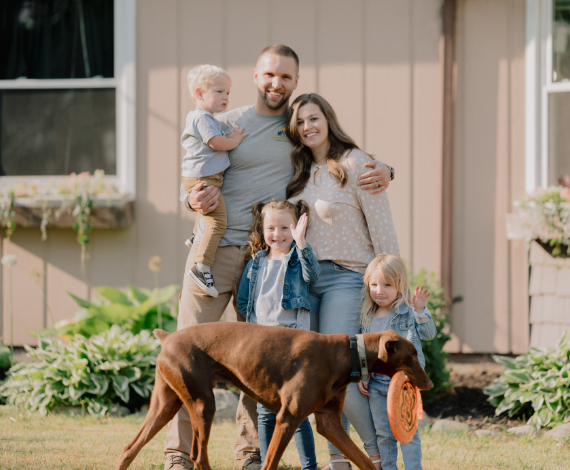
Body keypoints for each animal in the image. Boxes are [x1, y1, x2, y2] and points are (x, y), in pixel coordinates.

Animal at [117, 324, 432, 470]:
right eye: (412, 356)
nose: (428, 384)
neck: (349, 354)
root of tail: (167, 336)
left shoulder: (329, 423)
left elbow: (364, 460)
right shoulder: (287, 419)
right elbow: (269, 463)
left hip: (165, 405)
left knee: (130, 447)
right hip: (203, 404)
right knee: (197, 455)